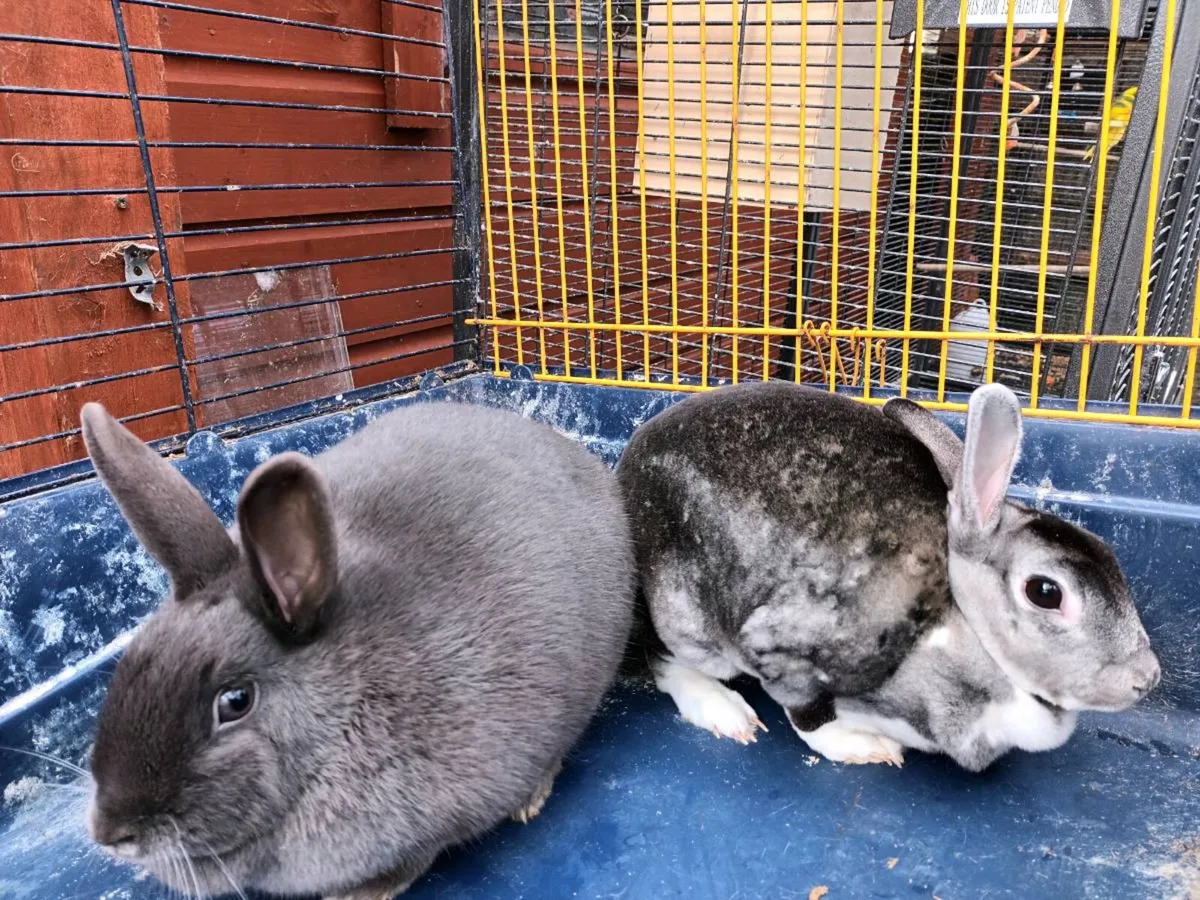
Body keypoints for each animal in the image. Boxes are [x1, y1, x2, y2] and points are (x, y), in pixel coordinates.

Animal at [617, 381, 1160, 772]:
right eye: (1046, 592)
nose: (1147, 678)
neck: (959, 624)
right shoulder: (787, 655)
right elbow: (810, 717)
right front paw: (862, 747)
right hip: (686, 620)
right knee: (664, 659)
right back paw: (725, 713)